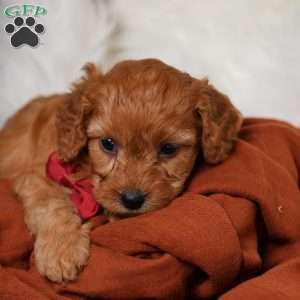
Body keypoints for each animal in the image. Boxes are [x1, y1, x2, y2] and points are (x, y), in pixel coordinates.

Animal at [0, 58, 241, 282]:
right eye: (108, 144)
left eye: (169, 149)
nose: (132, 200)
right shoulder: (35, 176)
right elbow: (50, 204)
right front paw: (60, 251)